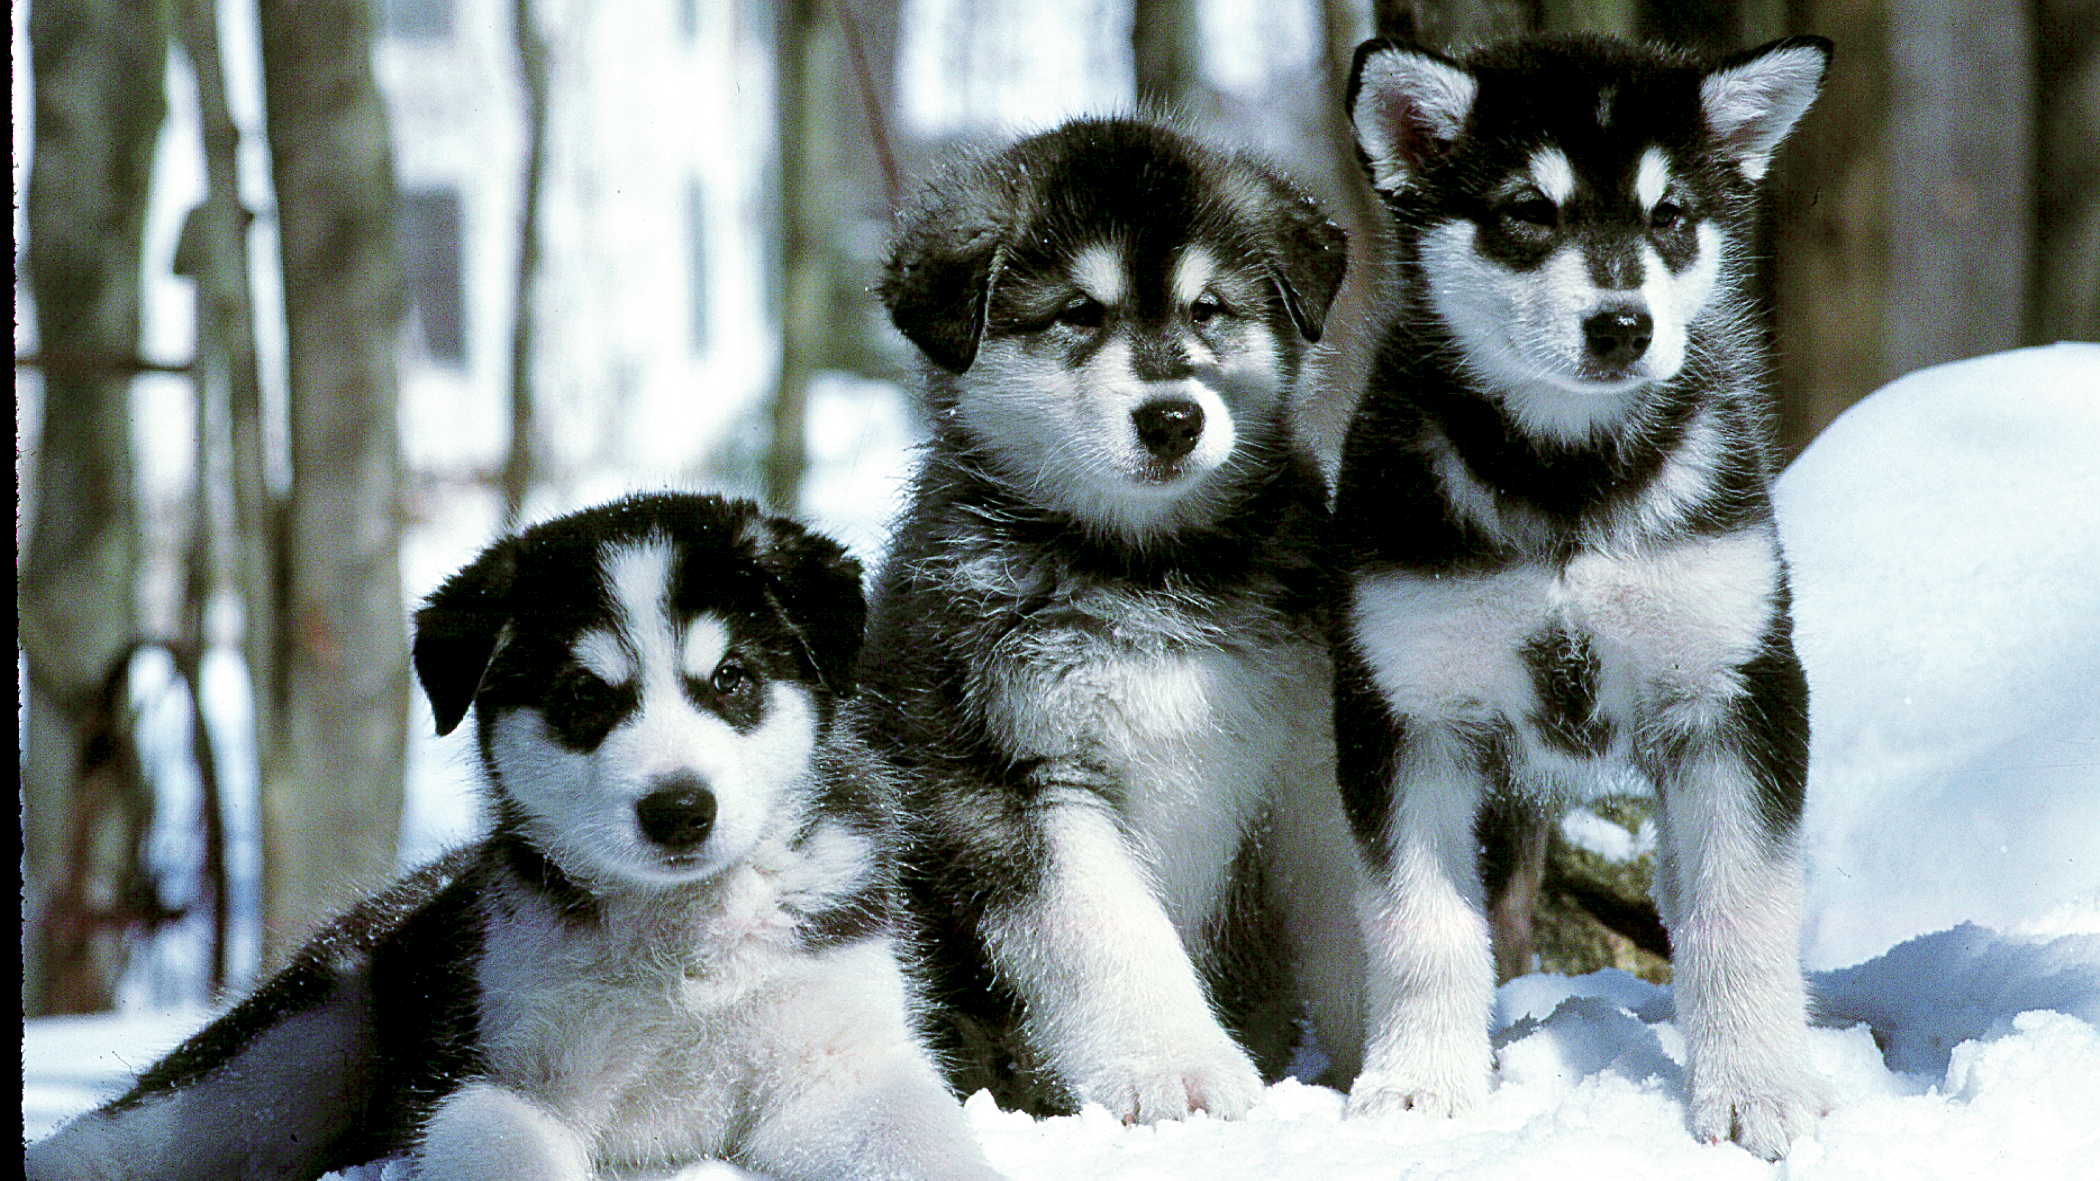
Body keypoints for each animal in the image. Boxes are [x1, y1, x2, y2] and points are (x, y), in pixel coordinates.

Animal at [24, 491, 1007, 1176]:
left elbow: (924, 1146)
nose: (679, 810)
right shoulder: (494, 1080)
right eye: (582, 695)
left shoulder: (842, 1065)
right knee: (131, 1134)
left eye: (731, 676)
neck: (682, 942)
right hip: (295, 1046)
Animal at [865, 119, 1369, 1117]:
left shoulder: (1309, 754)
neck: (1146, 568)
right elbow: (1111, 932)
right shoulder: (1016, 776)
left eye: (1208, 309)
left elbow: (1360, 908)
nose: (1173, 418)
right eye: (1078, 314)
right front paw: (1175, 1067)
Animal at [1335, 32, 1831, 1151]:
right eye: (1528, 209)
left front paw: (1758, 1088)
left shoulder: (1737, 690)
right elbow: (1419, 922)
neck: (1567, 482)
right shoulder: (1403, 707)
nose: (1621, 325)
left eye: (1670, 215)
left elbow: (1740, 906)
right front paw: (1421, 1086)